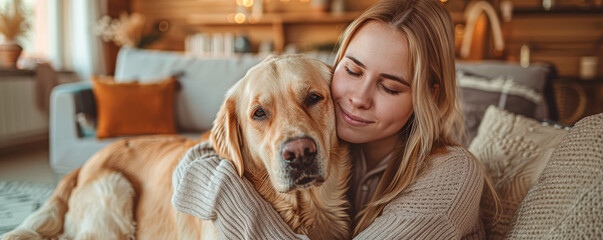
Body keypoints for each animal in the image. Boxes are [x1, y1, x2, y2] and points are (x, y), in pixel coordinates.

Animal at [3, 54, 350, 240]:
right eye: (259, 113)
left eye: (314, 97)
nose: (299, 153)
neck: (300, 209)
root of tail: (85, 163)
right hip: (115, 190)